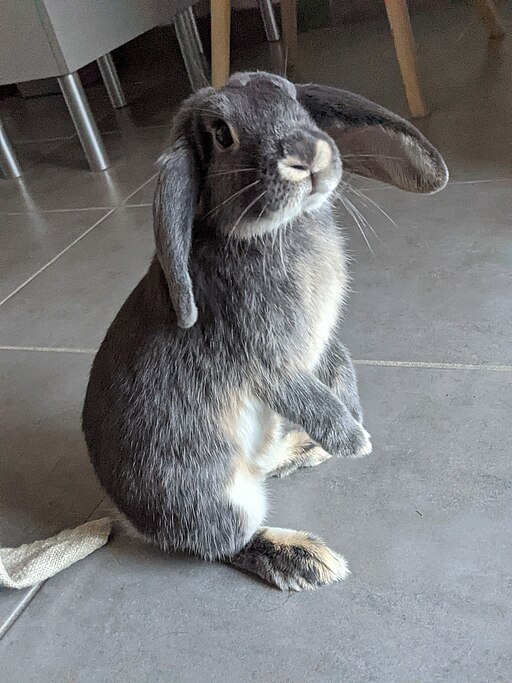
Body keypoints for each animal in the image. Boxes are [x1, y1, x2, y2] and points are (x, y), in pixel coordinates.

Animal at [82, 72, 446, 592]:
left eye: (293, 99)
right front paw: (354, 441)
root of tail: (126, 514)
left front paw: (354, 416)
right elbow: (305, 395)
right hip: (212, 495)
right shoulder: (264, 359)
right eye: (221, 135)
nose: (307, 156)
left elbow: (340, 363)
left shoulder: (322, 341)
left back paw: (305, 450)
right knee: (225, 543)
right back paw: (304, 559)